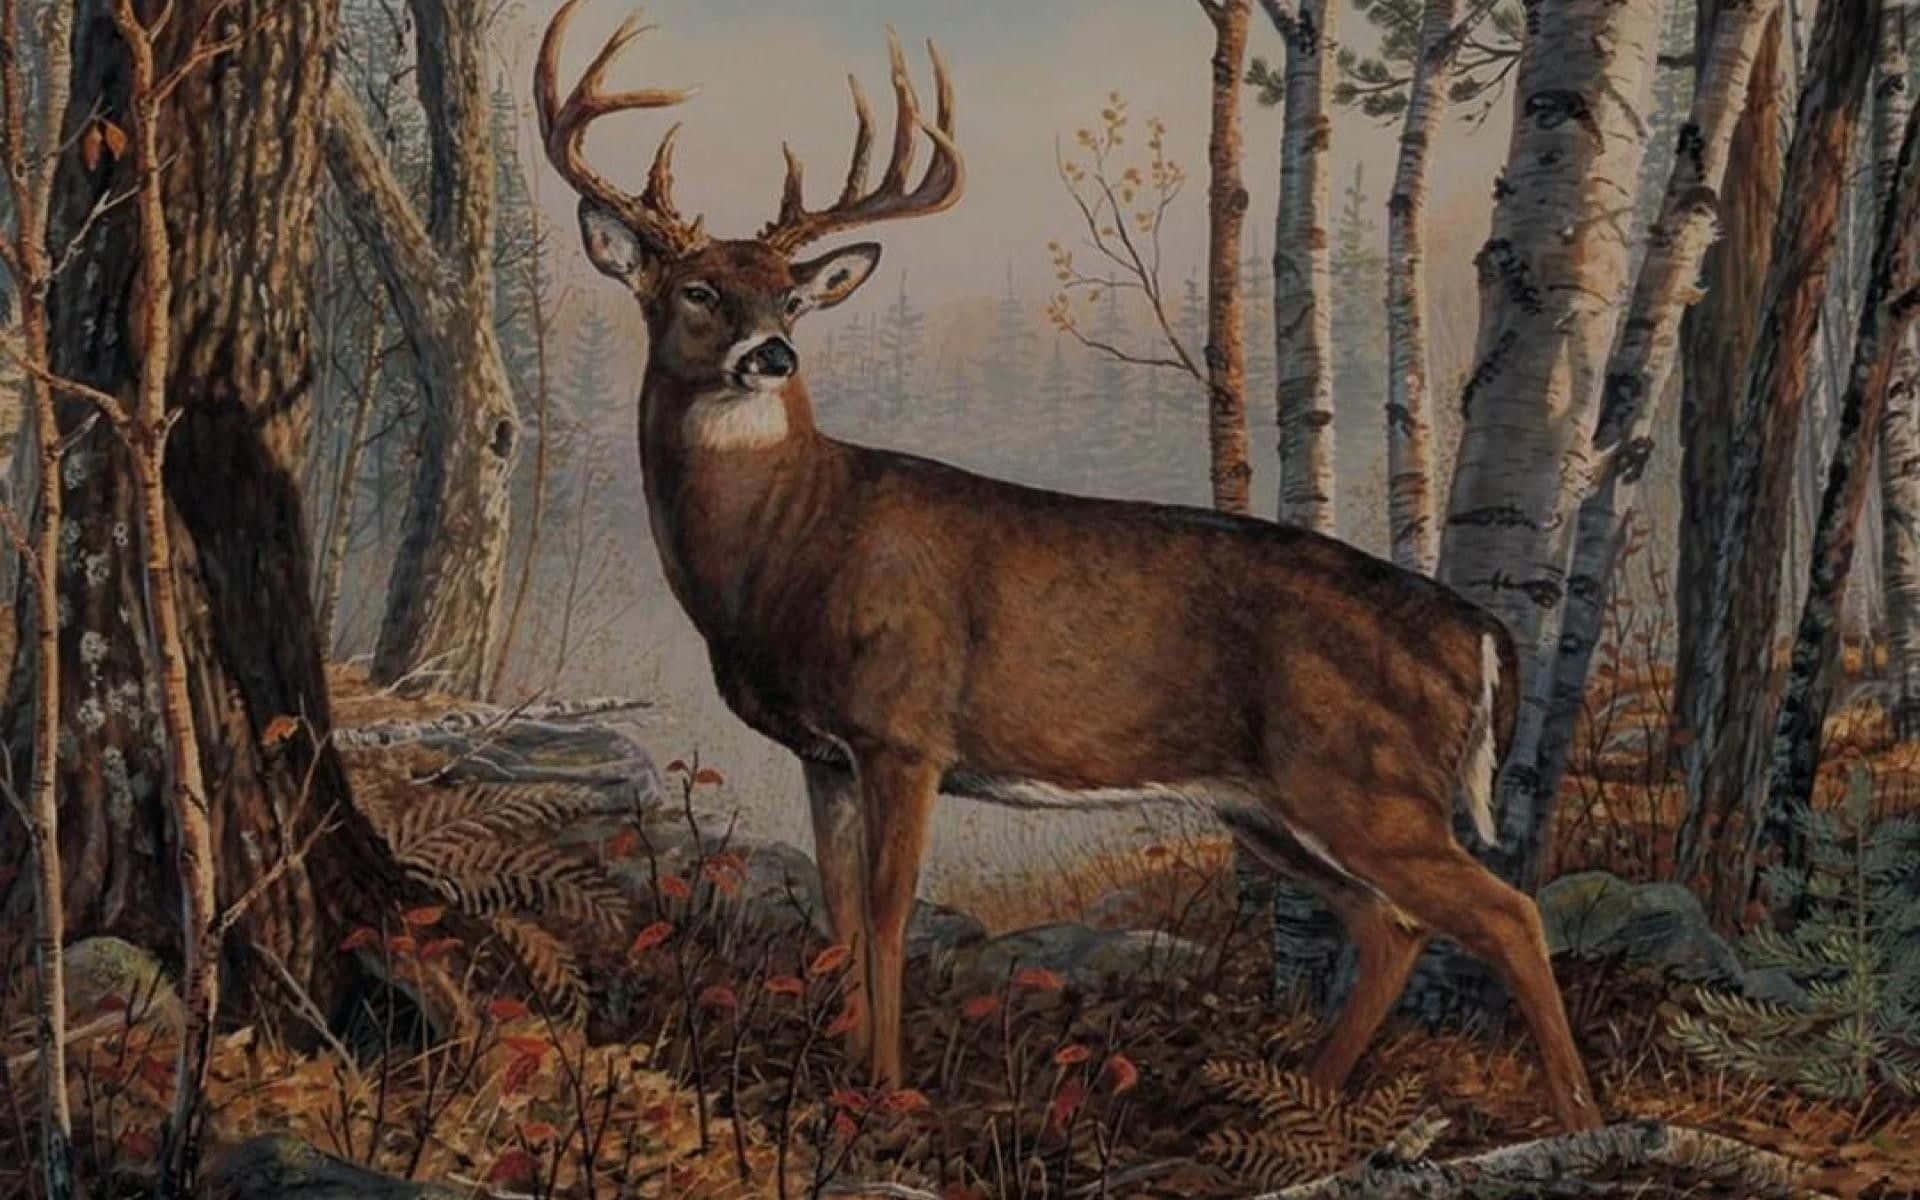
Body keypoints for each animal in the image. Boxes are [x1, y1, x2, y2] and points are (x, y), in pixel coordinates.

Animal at [535, 0, 1602, 1133]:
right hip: (1270, 804)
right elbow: (839, 908)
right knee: (1390, 923)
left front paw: (889, 1090)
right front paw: (841, 1076)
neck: (787, 549)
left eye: (792, 297)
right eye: (697, 289)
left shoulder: (904, 729)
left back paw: (1581, 1118)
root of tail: (1479, 631)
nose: (772, 355)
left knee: (1505, 909)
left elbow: (888, 910)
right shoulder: (824, 751)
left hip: (1364, 781)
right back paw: (1302, 1099)